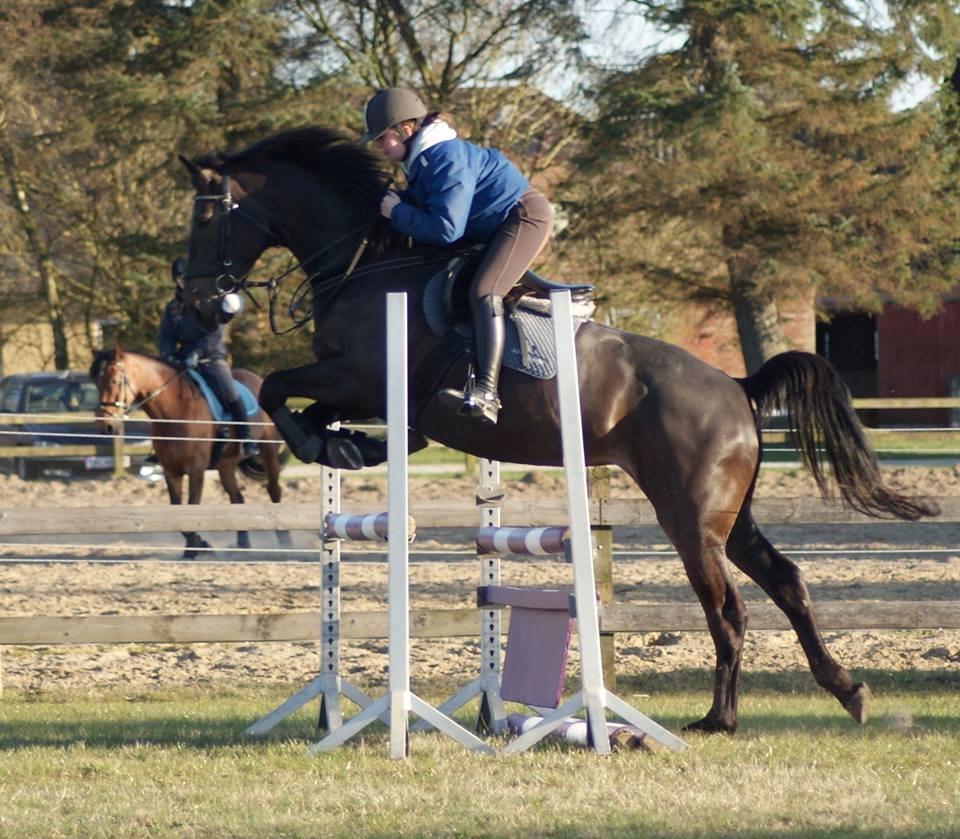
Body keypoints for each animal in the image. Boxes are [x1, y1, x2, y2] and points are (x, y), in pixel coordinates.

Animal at [92, 344, 290, 560]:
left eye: (113, 381)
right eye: (96, 383)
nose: (106, 426)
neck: (175, 411)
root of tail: (257, 378)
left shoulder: (196, 470)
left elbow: (192, 507)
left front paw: (197, 547)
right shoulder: (171, 471)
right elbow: (178, 511)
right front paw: (198, 546)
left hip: (268, 452)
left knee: (274, 491)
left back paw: (284, 541)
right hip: (226, 465)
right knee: (237, 498)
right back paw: (242, 545)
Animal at [178, 126, 936, 736]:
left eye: (206, 215)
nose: (194, 302)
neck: (364, 263)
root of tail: (735, 386)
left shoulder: (363, 378)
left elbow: (278, 389)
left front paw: (329, 443)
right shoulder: (358, 387)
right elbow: (298, 403)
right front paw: (344, 444)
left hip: (691, 521)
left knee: (729, 611)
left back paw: (719, 718)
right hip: (730, 516)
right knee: (786, 583)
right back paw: (848, 691)